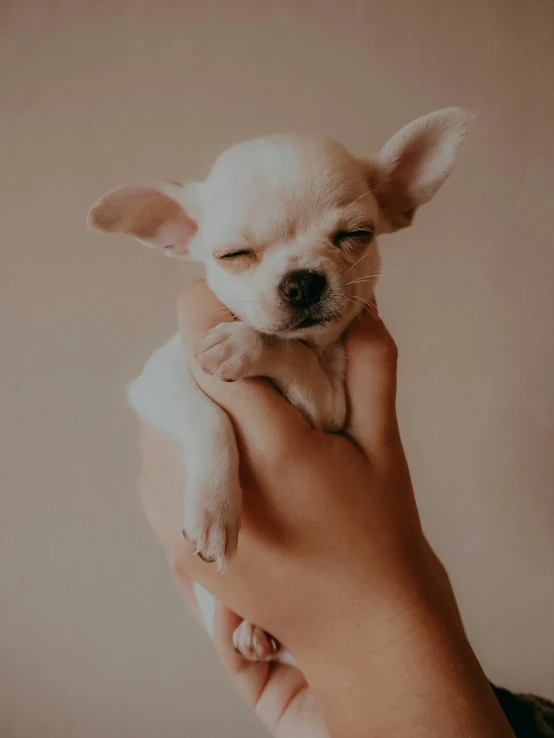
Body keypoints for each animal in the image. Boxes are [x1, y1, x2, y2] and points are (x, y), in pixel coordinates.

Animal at [88, 108, 468, 660]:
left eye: (356, 234)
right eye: (233, 255)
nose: (303, 280)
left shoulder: (329, 404)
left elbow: (291, 354)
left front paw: (245, 344)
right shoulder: (159, 379)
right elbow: (209, 418)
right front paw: (214, 507)